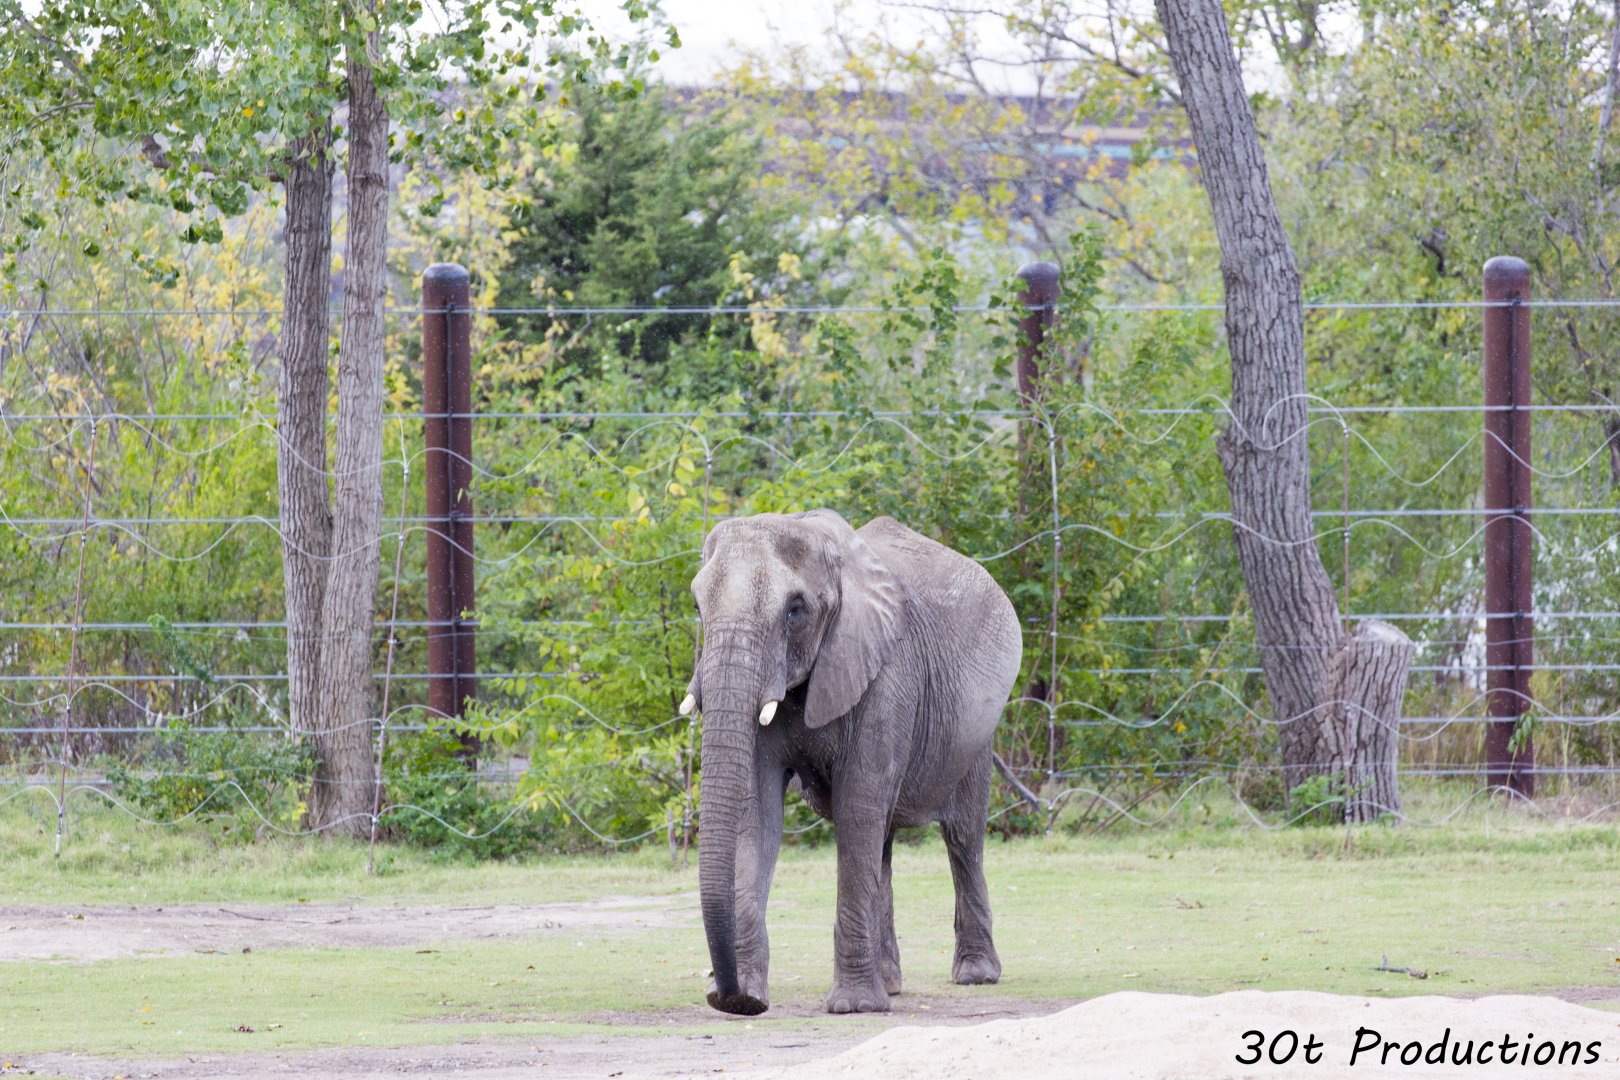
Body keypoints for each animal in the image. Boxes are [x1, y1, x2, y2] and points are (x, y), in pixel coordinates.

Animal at [683, 508, 1023, 1016]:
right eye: (699, 607)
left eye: (795, 609)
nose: (729, 998)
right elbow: (756, 812)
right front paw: (749, 997)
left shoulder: (887, 673)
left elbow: (857, 807)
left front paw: (855, 1007)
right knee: (882, 842)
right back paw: (892, 984)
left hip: (978, 729)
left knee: (962, 836)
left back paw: (975, 975)